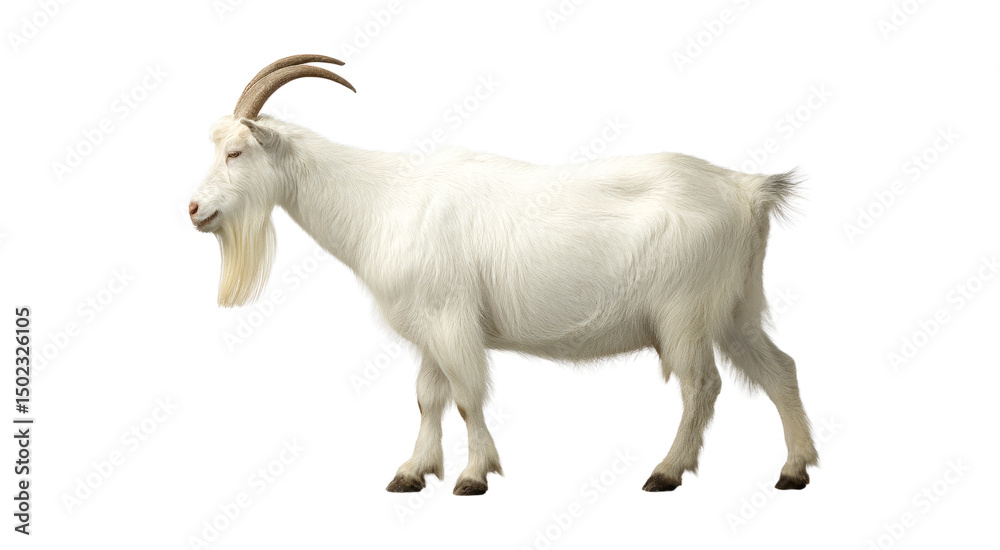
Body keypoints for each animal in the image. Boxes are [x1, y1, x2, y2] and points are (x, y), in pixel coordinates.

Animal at [189, 55, 818, 495]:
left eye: (238, 152)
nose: (194, 209)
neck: (383, 199)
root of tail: (746, 190)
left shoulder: (452, 318)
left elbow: (468, 396)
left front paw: (473, 476)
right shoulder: (429, 326)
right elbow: (428, 397)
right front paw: (412, 473)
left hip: (684, 311)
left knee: (701, 385)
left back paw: (666, 472)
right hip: (735, 305)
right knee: (780, 368)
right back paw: (795, 470)